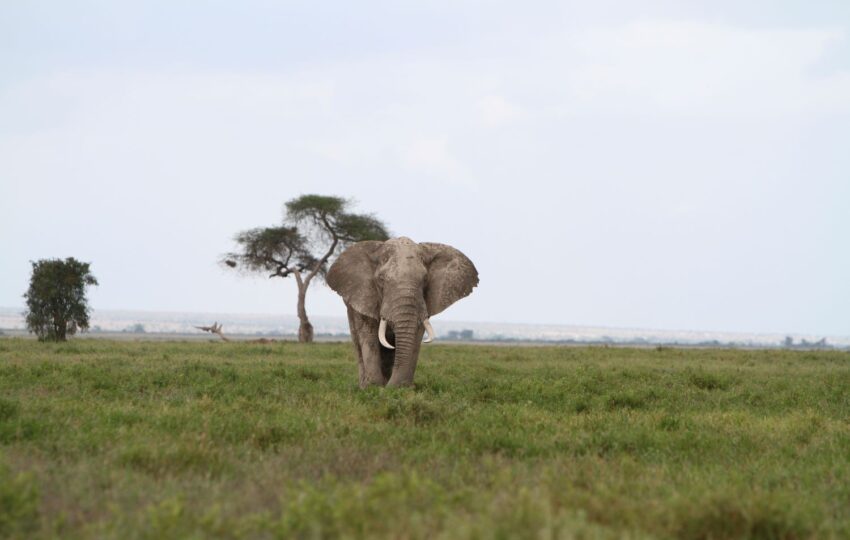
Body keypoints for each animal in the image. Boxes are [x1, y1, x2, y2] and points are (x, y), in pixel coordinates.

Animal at [326, 237, 478, 388]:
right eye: (381, 280)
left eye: (425, 279)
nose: (392, 387)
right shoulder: (364, 295)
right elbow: (369, 335)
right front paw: (374, 387)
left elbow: (416, 335)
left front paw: (402, 388)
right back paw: (366, 385)